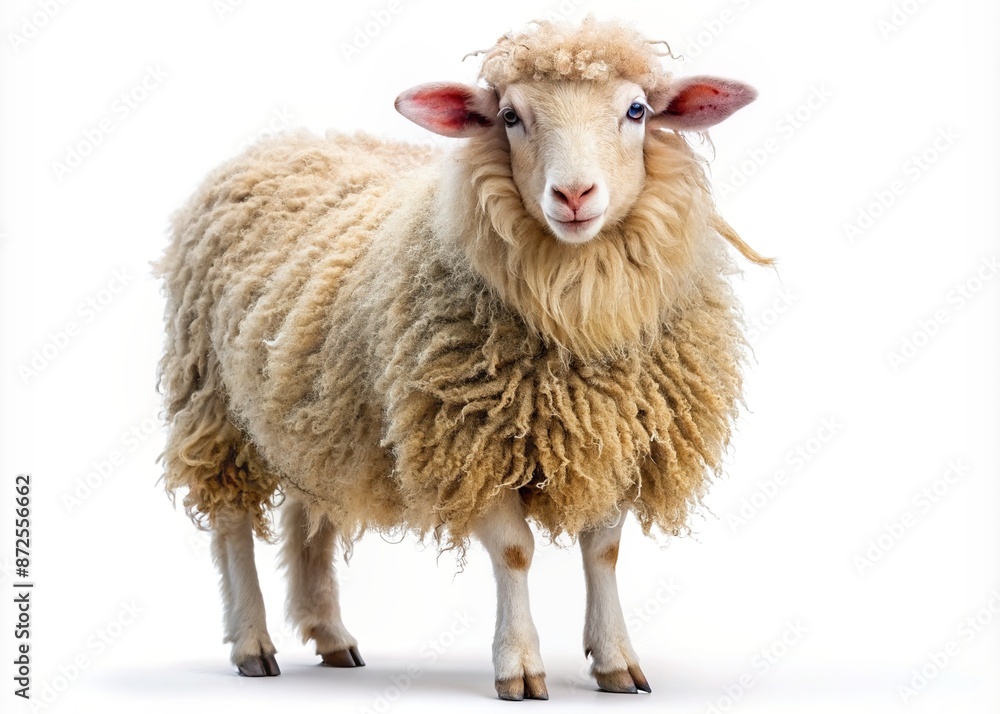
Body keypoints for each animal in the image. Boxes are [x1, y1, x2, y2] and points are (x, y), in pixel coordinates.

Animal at [157, 17, 768, 700]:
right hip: (212, 400)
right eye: (509, 116)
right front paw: (519, 666)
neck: (577, 308)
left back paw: (331, 636)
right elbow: (515, 552)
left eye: (636, 111)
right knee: (233, 523)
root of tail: (281, 142)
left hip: (318, 412)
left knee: (309, 513)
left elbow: (603, 550)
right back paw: (252, 644)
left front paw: (615, 661)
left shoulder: (619, 435)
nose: (574, 194)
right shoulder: (470, 438)